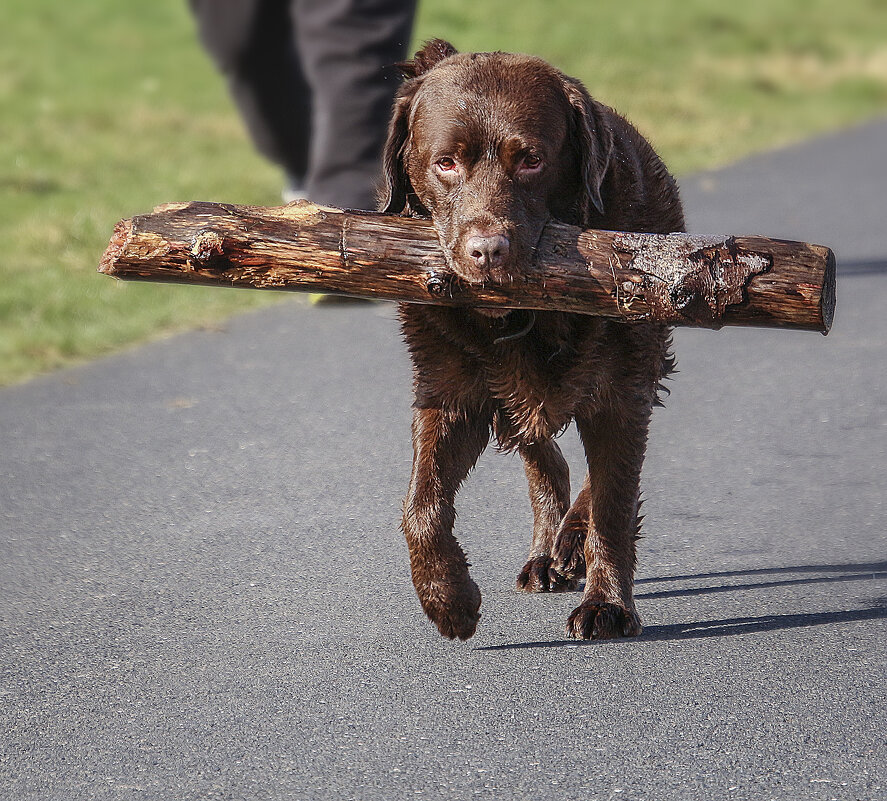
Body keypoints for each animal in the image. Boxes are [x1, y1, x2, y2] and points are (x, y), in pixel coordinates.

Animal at [382, 39, 688, 644]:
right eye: (445, 162)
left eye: (531, 160)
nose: (487, 251)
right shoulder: (451, 391)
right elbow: (421, 506)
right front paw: (448, 599)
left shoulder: (621, 391)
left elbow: (614, 502)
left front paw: (607, 604)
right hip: (515, 397)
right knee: (545, 458)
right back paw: (548, 552)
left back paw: (570, 546)